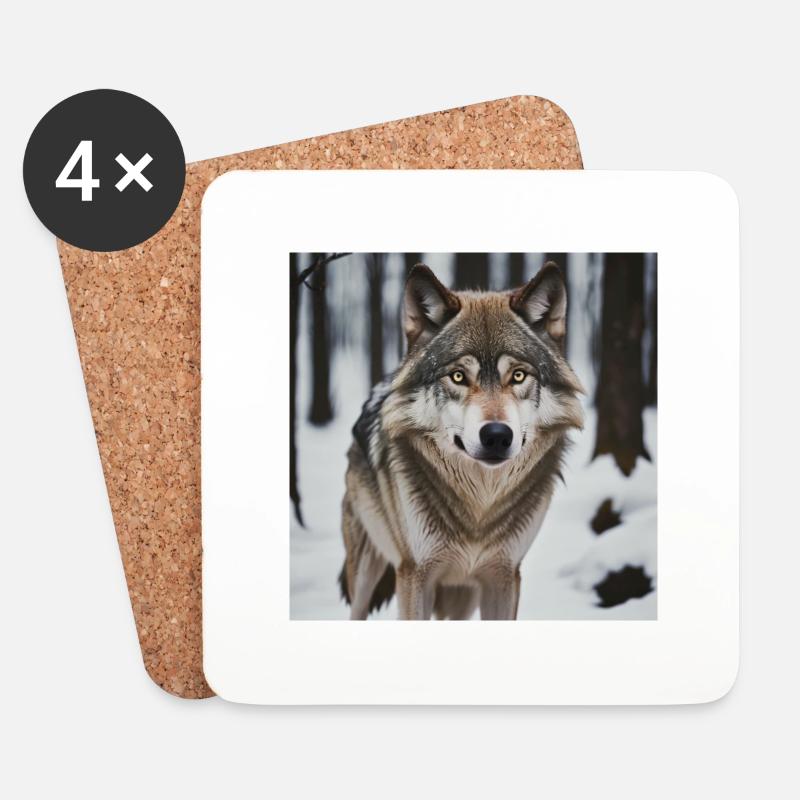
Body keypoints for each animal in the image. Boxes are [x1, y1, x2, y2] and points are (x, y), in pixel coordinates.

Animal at [339, 262, 584, 620]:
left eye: (518, 375)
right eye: (458, 376)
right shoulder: (415, 575)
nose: (496, 436)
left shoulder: (504, 576)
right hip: (366, 573)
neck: (478, 508)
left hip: (460, 598)